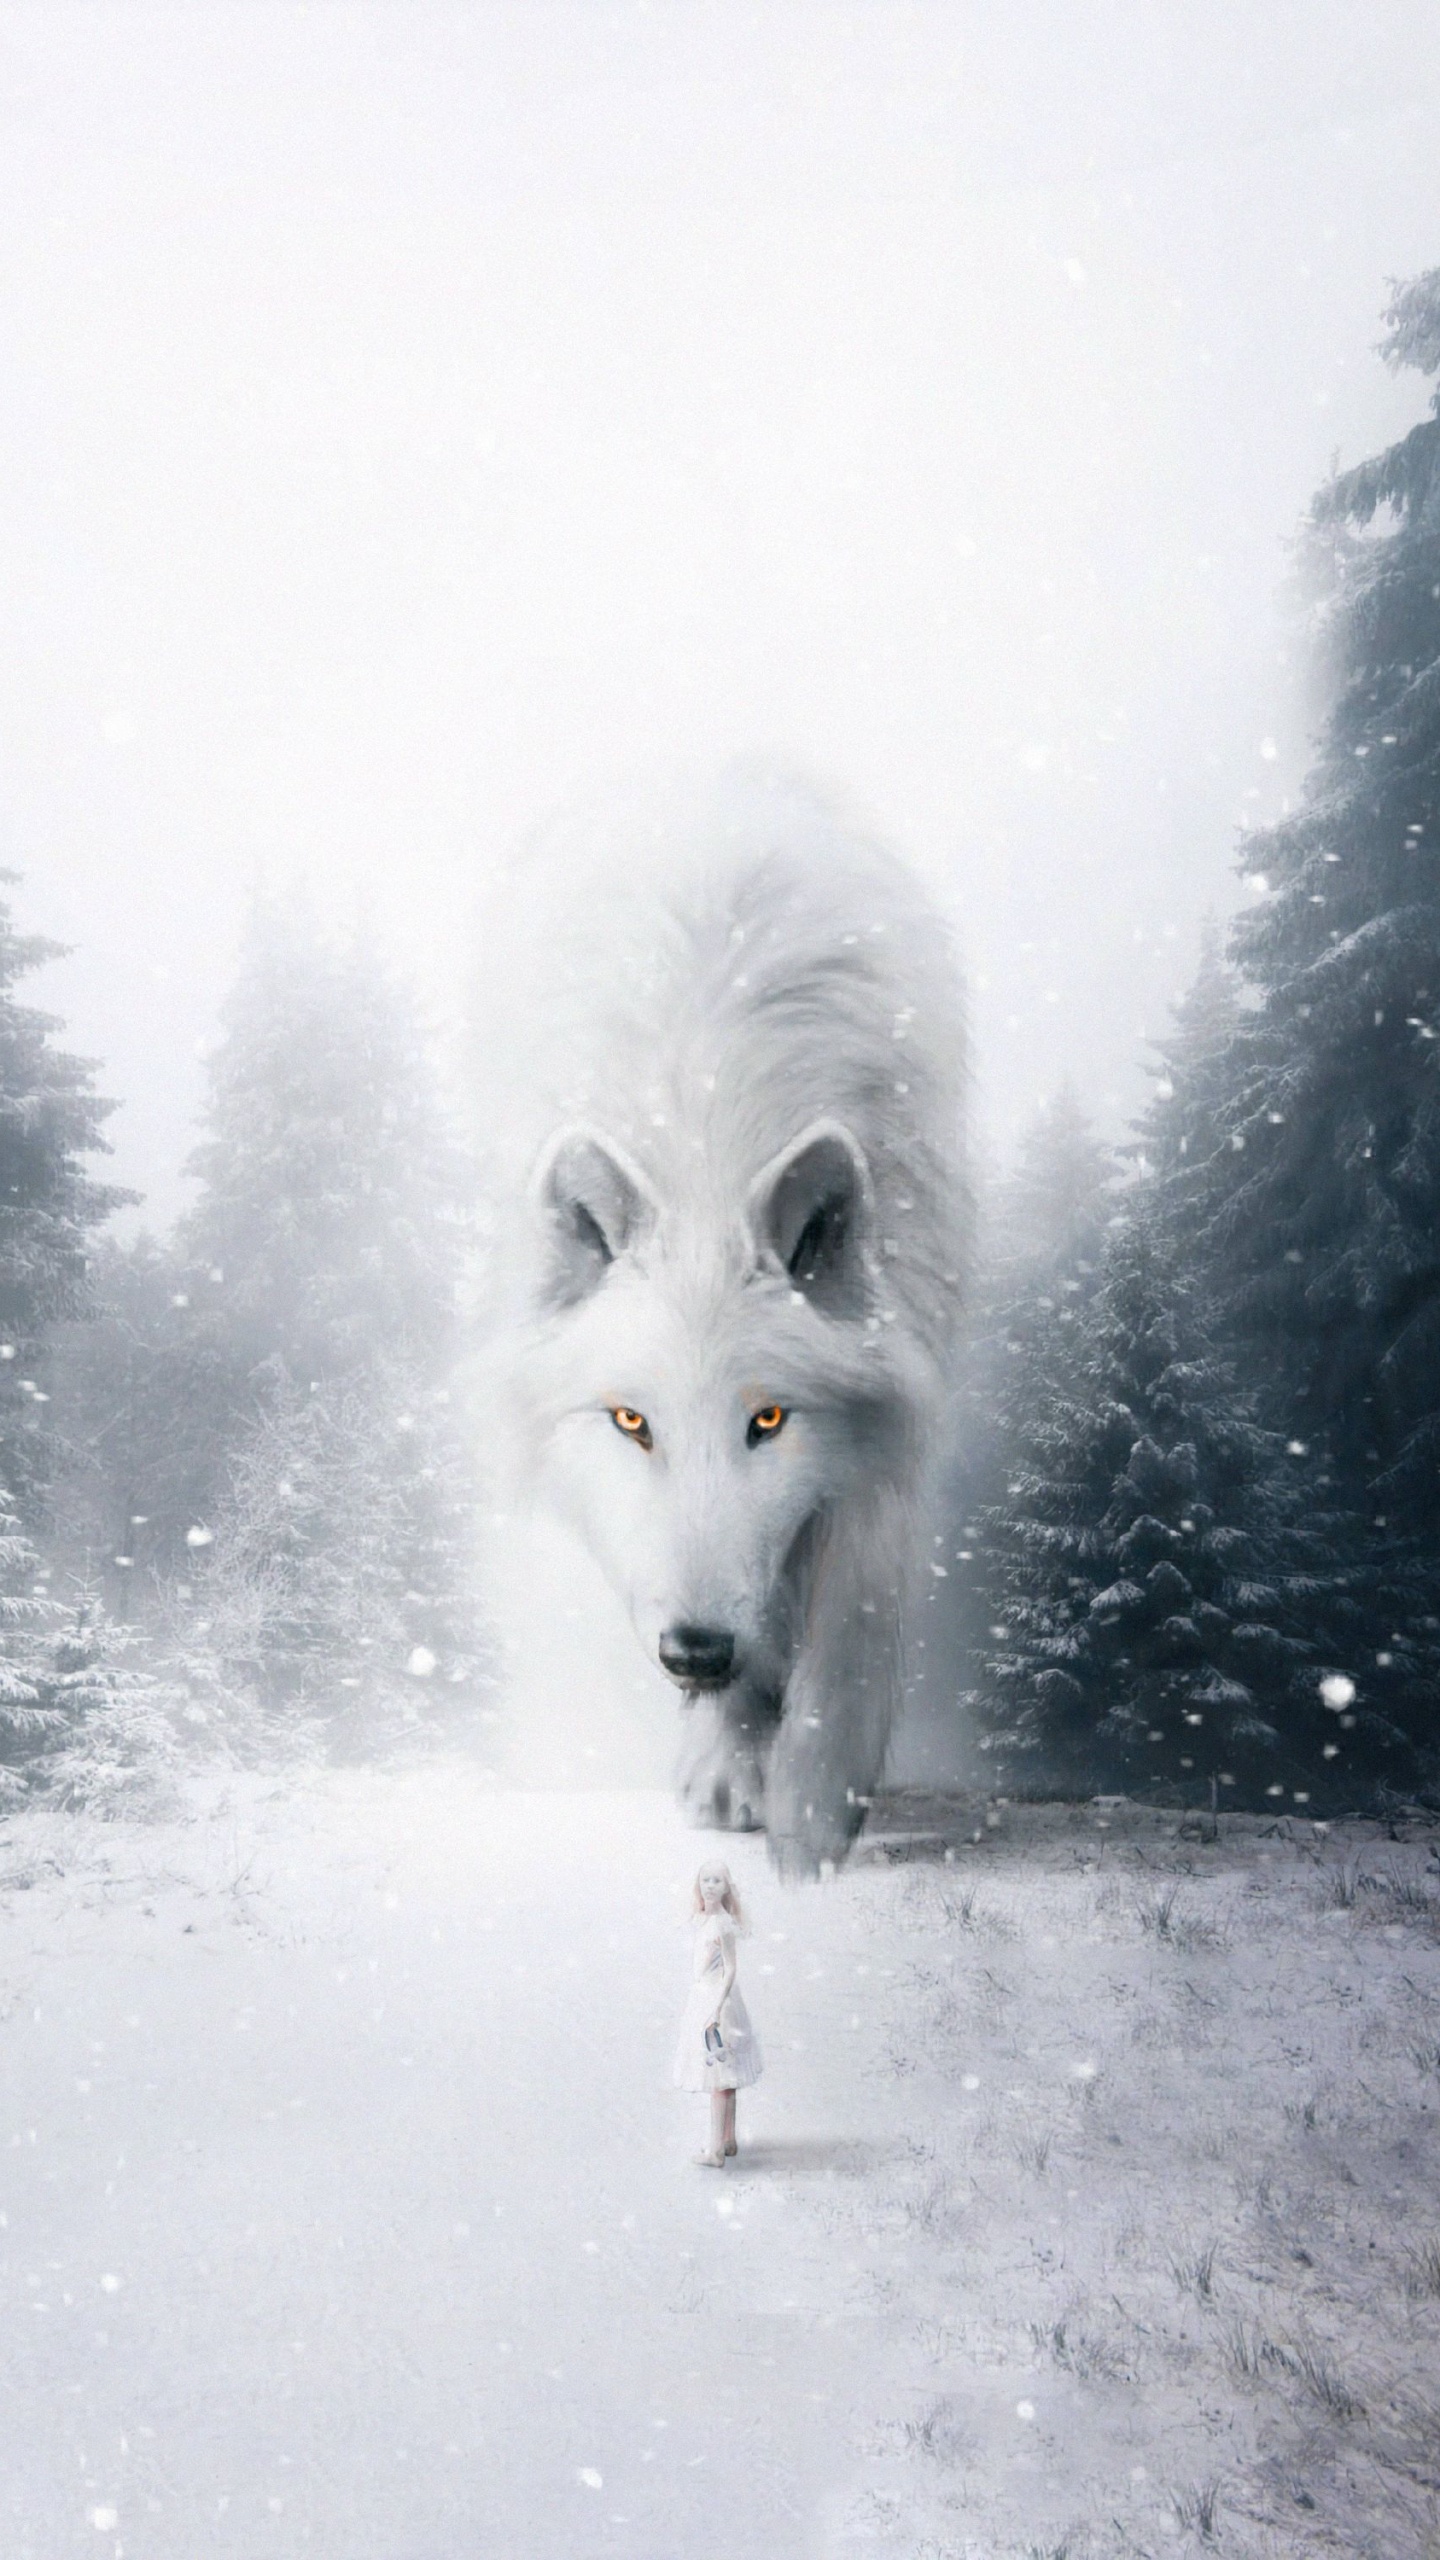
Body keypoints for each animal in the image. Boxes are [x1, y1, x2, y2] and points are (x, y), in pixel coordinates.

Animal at [477, 766, 967, 1874]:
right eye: (631, 1422)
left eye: (768, 1420)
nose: (694, 1653)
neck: (706, 1134)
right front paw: (734, 1763)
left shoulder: (890, 1409)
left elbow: (851, 1623)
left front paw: (815, 1820)